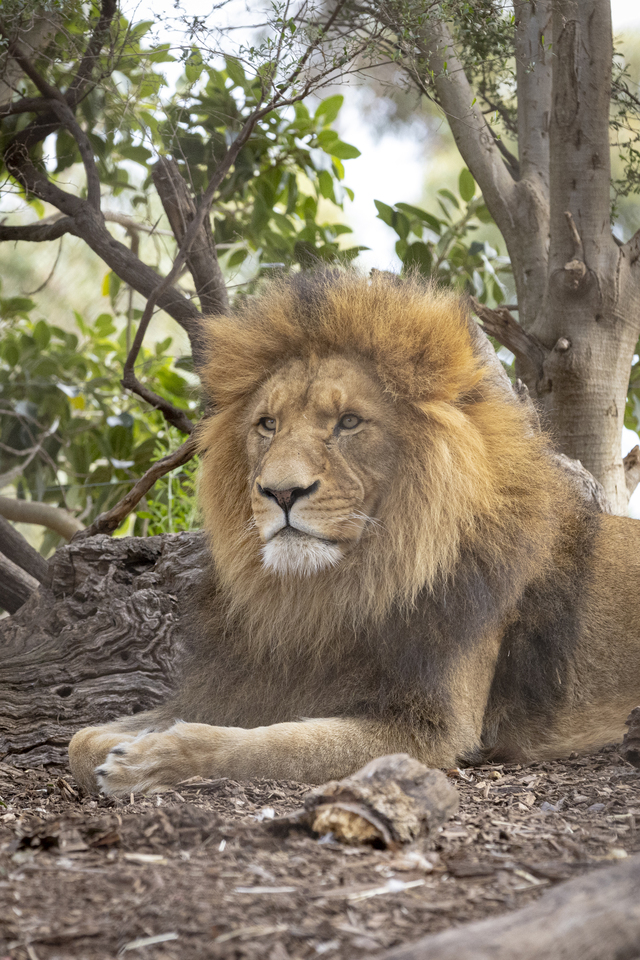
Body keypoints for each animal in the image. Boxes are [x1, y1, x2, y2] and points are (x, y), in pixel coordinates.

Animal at [67, 272, 640, 796]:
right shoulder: (241, 685)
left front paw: (154, 760)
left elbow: (275, 747)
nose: (281, 492)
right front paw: (122, 749)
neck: (328, 597)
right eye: (267, 424)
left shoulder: (433, 731)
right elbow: (79, 741)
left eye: (348, 422)